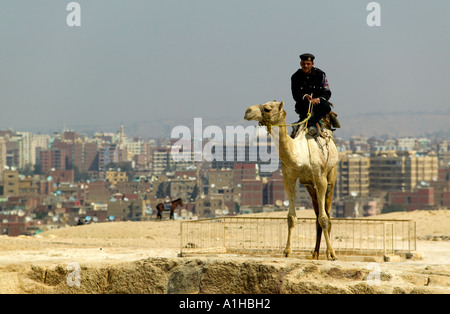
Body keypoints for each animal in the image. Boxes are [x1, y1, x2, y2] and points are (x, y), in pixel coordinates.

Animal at [244, 100, 340, 260]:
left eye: (268, 108)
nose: (248, 111)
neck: (301, 155)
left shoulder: (320, 177)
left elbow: (324, 218)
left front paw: (332, 254)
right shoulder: (289, 178)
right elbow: (291, 217)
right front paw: (287, 251)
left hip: (331, 175)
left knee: (326, 214)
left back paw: (327, 252)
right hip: (310, 186)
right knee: (317, 216)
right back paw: (315, 253)